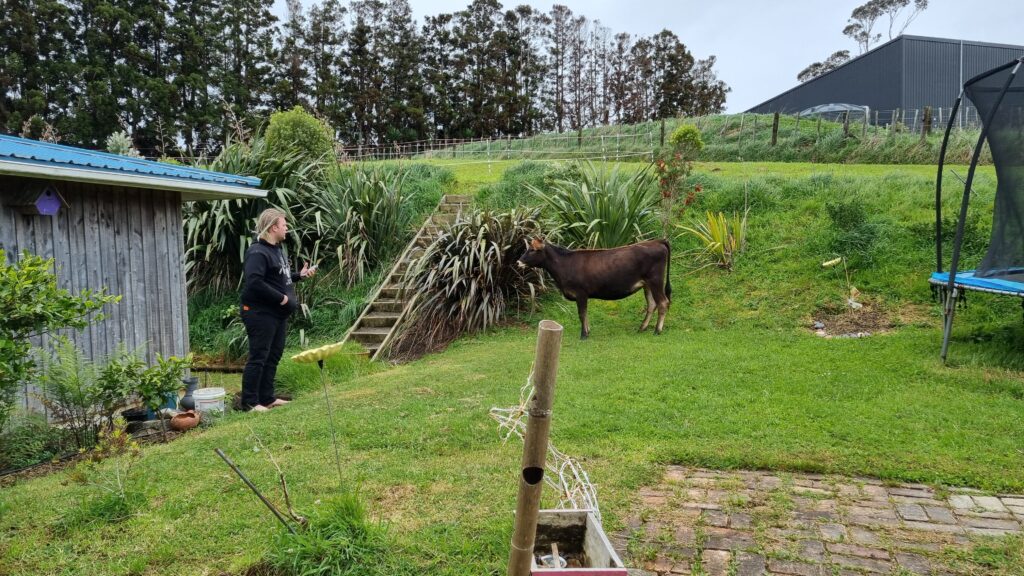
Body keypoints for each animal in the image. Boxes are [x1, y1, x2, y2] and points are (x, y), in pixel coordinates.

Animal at [517, 237, 671, 339]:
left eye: (532, 250)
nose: (518, 262)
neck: (564, 265)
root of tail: (656, 241)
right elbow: (586, 313)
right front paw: (588, 331)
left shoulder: (580, 293)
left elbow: (582, 314)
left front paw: (584, 334)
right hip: (647, 284)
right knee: (652, 304)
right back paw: (642, 328)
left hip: (655, 280)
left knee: (663, 302)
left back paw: (657, 330)